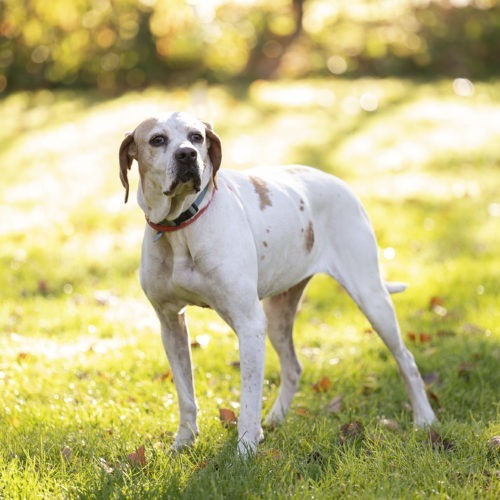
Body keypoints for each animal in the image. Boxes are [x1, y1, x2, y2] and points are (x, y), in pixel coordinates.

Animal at [119, 111, 436, 456]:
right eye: (157, 140)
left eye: (197, 137)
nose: (187, 155)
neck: (180, 228)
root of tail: (340, 183)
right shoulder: (170, 323)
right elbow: (185, 395)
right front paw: (184, 441)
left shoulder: (248, 324)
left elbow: (248, 400)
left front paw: (245, 450)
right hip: (278, 314)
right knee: (294, 368)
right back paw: (276, 418)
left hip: (371, 298)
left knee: (406, 360)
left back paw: (425, 419)